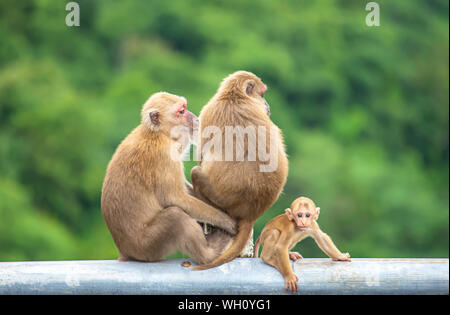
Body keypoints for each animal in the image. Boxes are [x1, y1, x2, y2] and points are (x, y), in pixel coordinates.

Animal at [101, 92, 236, 266]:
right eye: (181, 111)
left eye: (185, 107)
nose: (196, 118)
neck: (158, 133)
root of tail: (125, 251)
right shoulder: (165, 155)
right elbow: (175, 198)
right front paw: (226, 221)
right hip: (147, 246)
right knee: (175, 216)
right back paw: (209, 254)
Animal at [190, 71, 288, 272]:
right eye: (263, 94)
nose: (267, 105)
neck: (234, 97)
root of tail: (251, 212)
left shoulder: (208, 111)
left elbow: (201, 155)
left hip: (220, 198)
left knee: (196, 172)